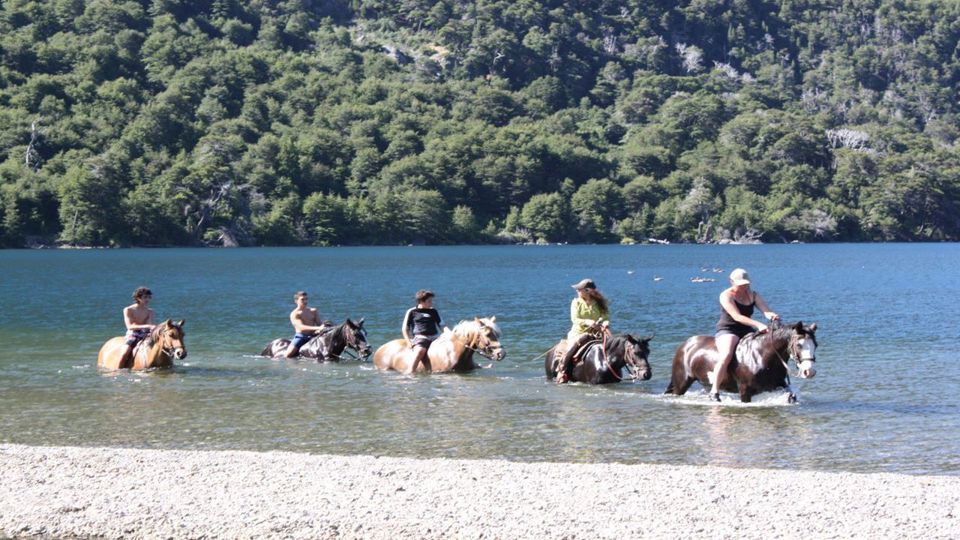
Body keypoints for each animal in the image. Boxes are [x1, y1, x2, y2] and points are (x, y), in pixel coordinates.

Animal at [665, 321, 818, 403]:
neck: (762, 356)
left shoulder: (778, 385)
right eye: (799, 345)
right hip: (681, 384)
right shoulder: (745, 391)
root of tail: (685, 345)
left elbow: (791, 396)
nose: (809, 372)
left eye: (815, 345)